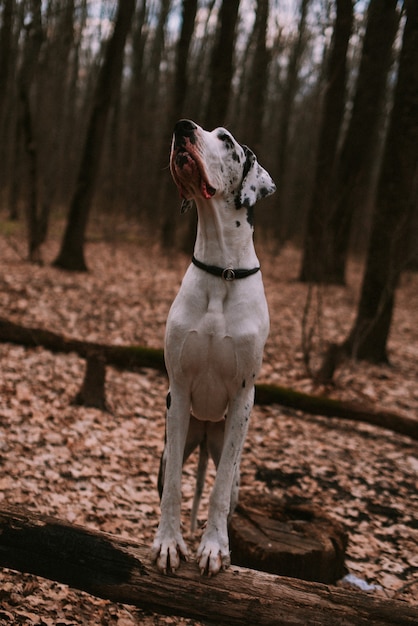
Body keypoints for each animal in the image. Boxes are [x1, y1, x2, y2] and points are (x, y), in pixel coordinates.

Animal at [152, 119, 276, 572]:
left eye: (226, 140)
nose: (181, 127)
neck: (223, 269)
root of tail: (205, 430)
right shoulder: (179, 390)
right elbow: (175, 487)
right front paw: (169, 543)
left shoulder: (242, 398)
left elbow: (218, 491)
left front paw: (213, 547)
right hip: (181, 437)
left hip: (225, 447)